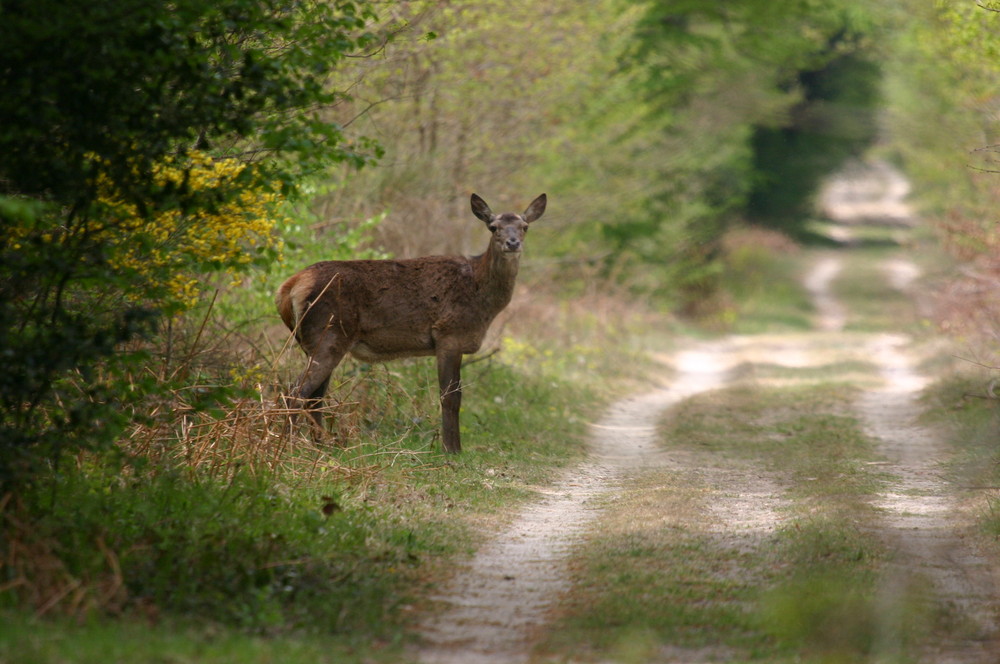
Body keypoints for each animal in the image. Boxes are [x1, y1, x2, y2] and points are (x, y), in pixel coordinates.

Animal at [276, 191, 548, 452]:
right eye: (493, 227)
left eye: (524, 226)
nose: (512, 243)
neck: (482, 299)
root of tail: (290, 286)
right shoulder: (449, 333)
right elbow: (451, 396)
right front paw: (451, 450)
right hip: (329, 333)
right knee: (295, 392)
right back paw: (288, 448)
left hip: (315, 340)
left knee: (314, 398)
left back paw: (320, 447)